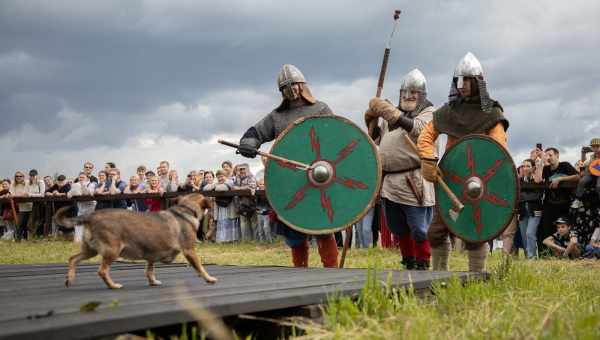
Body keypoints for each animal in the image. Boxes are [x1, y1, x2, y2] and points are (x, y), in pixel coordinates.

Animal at [55, 194, 217, 290]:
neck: (186, 210)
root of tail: (90, 216)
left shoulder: (152, 255)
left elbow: (149, 270)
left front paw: (153, 282)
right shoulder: (189, 251)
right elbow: (200, 267)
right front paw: (209, 279)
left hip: (90, 250)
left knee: (73, 259)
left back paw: (69, 279)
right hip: (112, 250)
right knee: (102, 271)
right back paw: (113, 285)